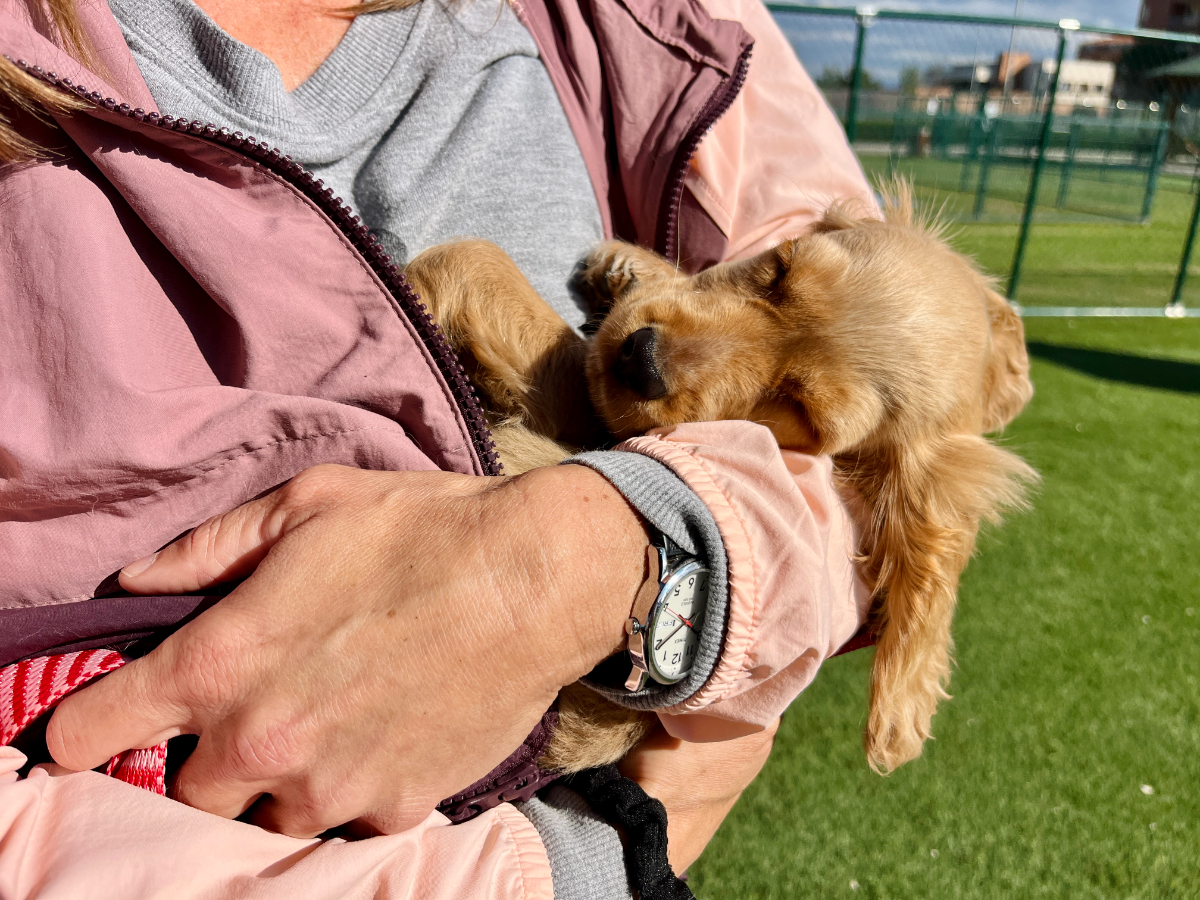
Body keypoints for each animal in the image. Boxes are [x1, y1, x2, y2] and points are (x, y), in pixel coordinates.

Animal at [404, 182, 1037, 775]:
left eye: (801, 407)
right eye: (779, 267)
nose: (640, 358)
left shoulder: (587, 412)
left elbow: (479, 260)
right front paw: (633, 266)